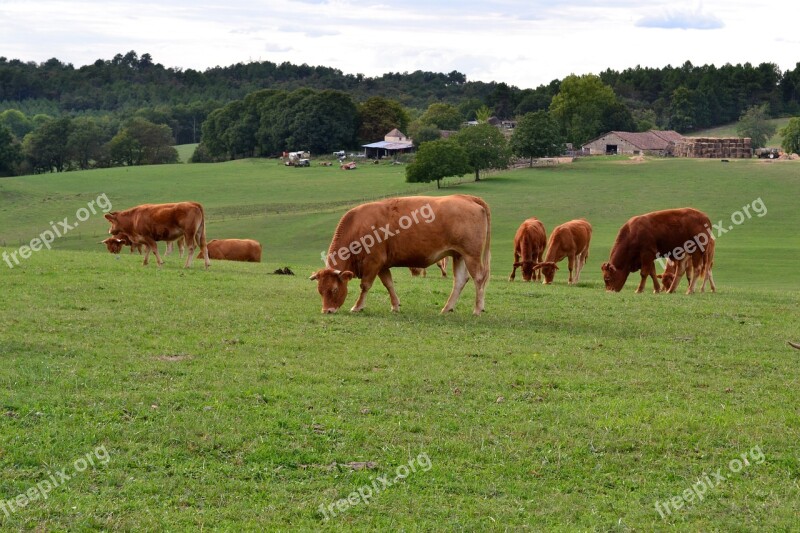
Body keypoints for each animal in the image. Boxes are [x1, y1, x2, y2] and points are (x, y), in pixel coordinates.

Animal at [310, 194, 490, 312]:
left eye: (334, 290)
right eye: (320, 290)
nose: (327, 311)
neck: (357, 227)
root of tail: (466, 197)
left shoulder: (373, 262)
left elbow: (365, 285)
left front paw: (357, 306)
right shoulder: (382, 265)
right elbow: (389, 284)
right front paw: (395, 305)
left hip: (471, 256)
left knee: (479, 279)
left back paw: (477, 309)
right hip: (458, 255)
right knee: (460, 281)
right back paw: (447, 308)